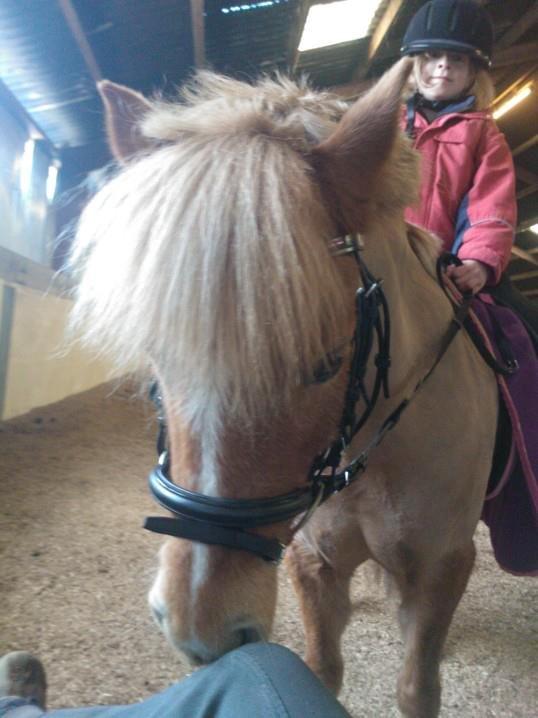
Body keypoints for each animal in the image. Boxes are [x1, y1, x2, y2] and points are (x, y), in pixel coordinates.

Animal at [69, 58, 498, 718]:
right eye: (157, 359)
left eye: (327, 363)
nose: (201, 631)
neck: (375, 455)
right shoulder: (314, 563)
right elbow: (322, 668)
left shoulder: (443, 565)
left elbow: (417, 686)